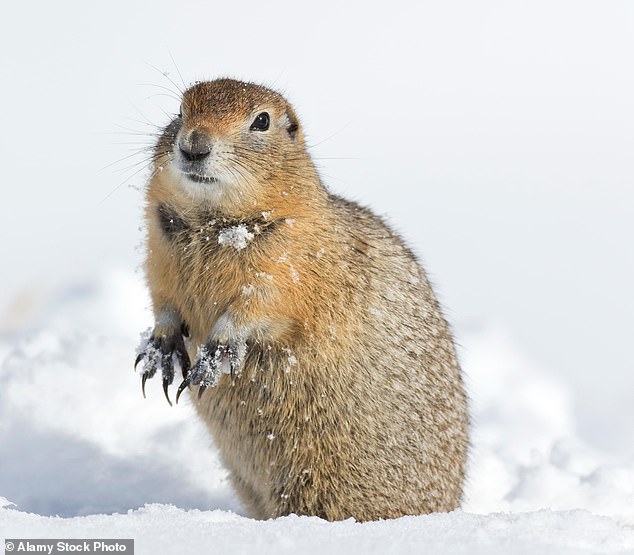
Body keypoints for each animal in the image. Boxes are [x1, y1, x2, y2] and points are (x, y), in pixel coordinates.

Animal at [135, 77, 470, 520]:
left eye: (262, 121)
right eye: (180, 109)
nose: (194, 145)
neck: (213, 222)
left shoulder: (290, 263)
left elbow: (261, 307)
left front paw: (216, 352)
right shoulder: (159, 254)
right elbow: (164, 301)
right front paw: (158, 350)